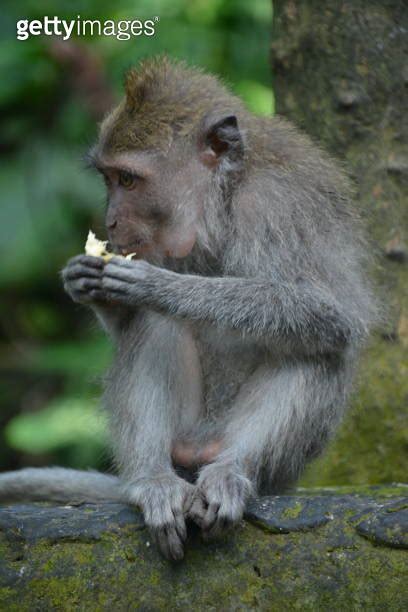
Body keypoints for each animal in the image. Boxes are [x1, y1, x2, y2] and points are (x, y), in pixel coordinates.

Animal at [0, 56, 378, 560]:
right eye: (107, 179)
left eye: (128, 179)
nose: (110, 223)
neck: (224, 199)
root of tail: (199, 452)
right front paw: (84, 280)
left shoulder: (278, 208)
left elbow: (331, 313)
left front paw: (163, 288)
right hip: (182, 439)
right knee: (153, 329)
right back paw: (154, 481)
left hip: (270, 466)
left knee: (316, 350)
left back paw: (232, 472)